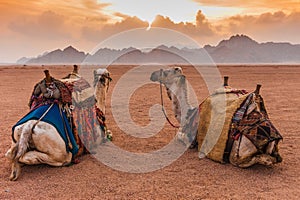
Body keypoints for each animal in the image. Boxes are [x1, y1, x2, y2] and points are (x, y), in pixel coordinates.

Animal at [151, 67, 282, 167]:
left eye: (166, 72)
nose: (152, 74)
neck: (187, 113)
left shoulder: (189, 139)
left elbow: (179, 136)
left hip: (238, 152)